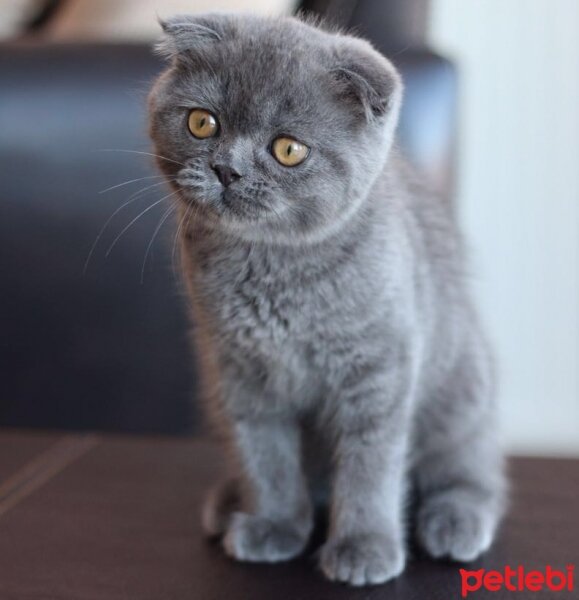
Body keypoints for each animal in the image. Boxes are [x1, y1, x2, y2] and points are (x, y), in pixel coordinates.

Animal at [147, 12, 506, 584]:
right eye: (203, 123)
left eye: (288, 149)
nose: (228, 170)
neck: (274, 271)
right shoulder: (238, 372)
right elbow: (264, 456)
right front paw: (273, 525)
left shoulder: (378, 369)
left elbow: (370, 466)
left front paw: (364, 547)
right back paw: (230, 502)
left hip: (461, 386)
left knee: (470, 466)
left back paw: (455, 520)